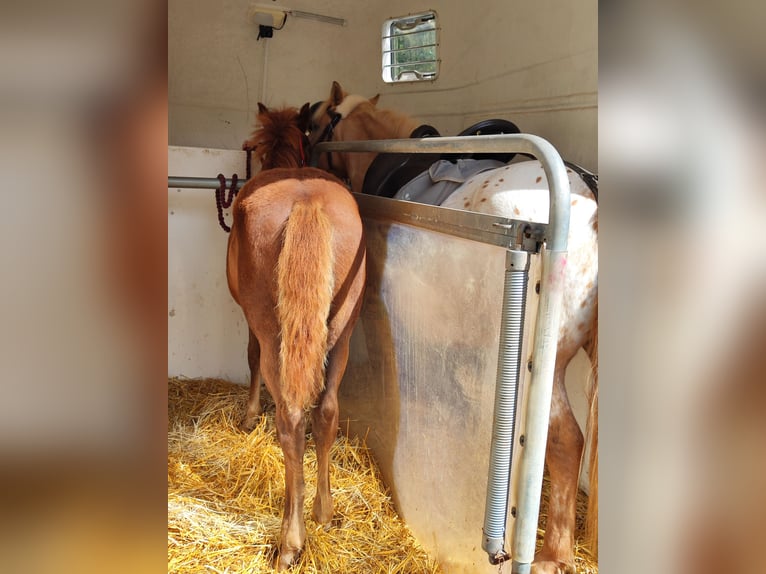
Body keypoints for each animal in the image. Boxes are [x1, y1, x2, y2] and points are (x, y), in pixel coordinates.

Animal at [231, 102, 367, 570]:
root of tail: (306, 201)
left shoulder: (250, 321)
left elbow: (250, 356)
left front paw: (250, 416)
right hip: (341, 334)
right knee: (326, 412)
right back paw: (324, 513)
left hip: (275, 330)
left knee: (290, 421)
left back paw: (290, 540)